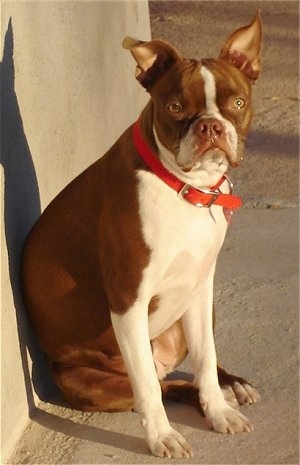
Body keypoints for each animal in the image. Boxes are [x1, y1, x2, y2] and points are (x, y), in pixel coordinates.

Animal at [21, 12, 262, 458]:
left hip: (195, 305)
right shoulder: (128, 300)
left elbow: (206, 358)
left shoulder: (200, 286)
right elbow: (150, 391)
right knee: (163, 384)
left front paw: (219, 411)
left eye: (237, 103)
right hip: (94, 383)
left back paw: (232, 385)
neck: (182, 187)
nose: (210, 126)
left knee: (191, 370)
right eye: (174, 107)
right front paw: (163, 437)